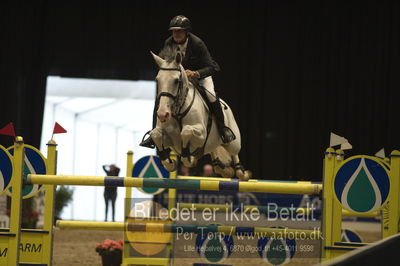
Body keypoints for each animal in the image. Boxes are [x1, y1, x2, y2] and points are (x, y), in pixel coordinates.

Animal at [150, 50, 250, 181]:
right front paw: (170, 163)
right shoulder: (170, 139)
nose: (163, 114)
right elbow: (155, 134)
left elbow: (186, 131)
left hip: (233, 142)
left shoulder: (201, 134)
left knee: (234, 152)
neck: (178, 112)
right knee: (213, 149)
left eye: (176, 81)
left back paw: (241, 172)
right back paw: (220, 168)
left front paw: (187, 156)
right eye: (157, 80)